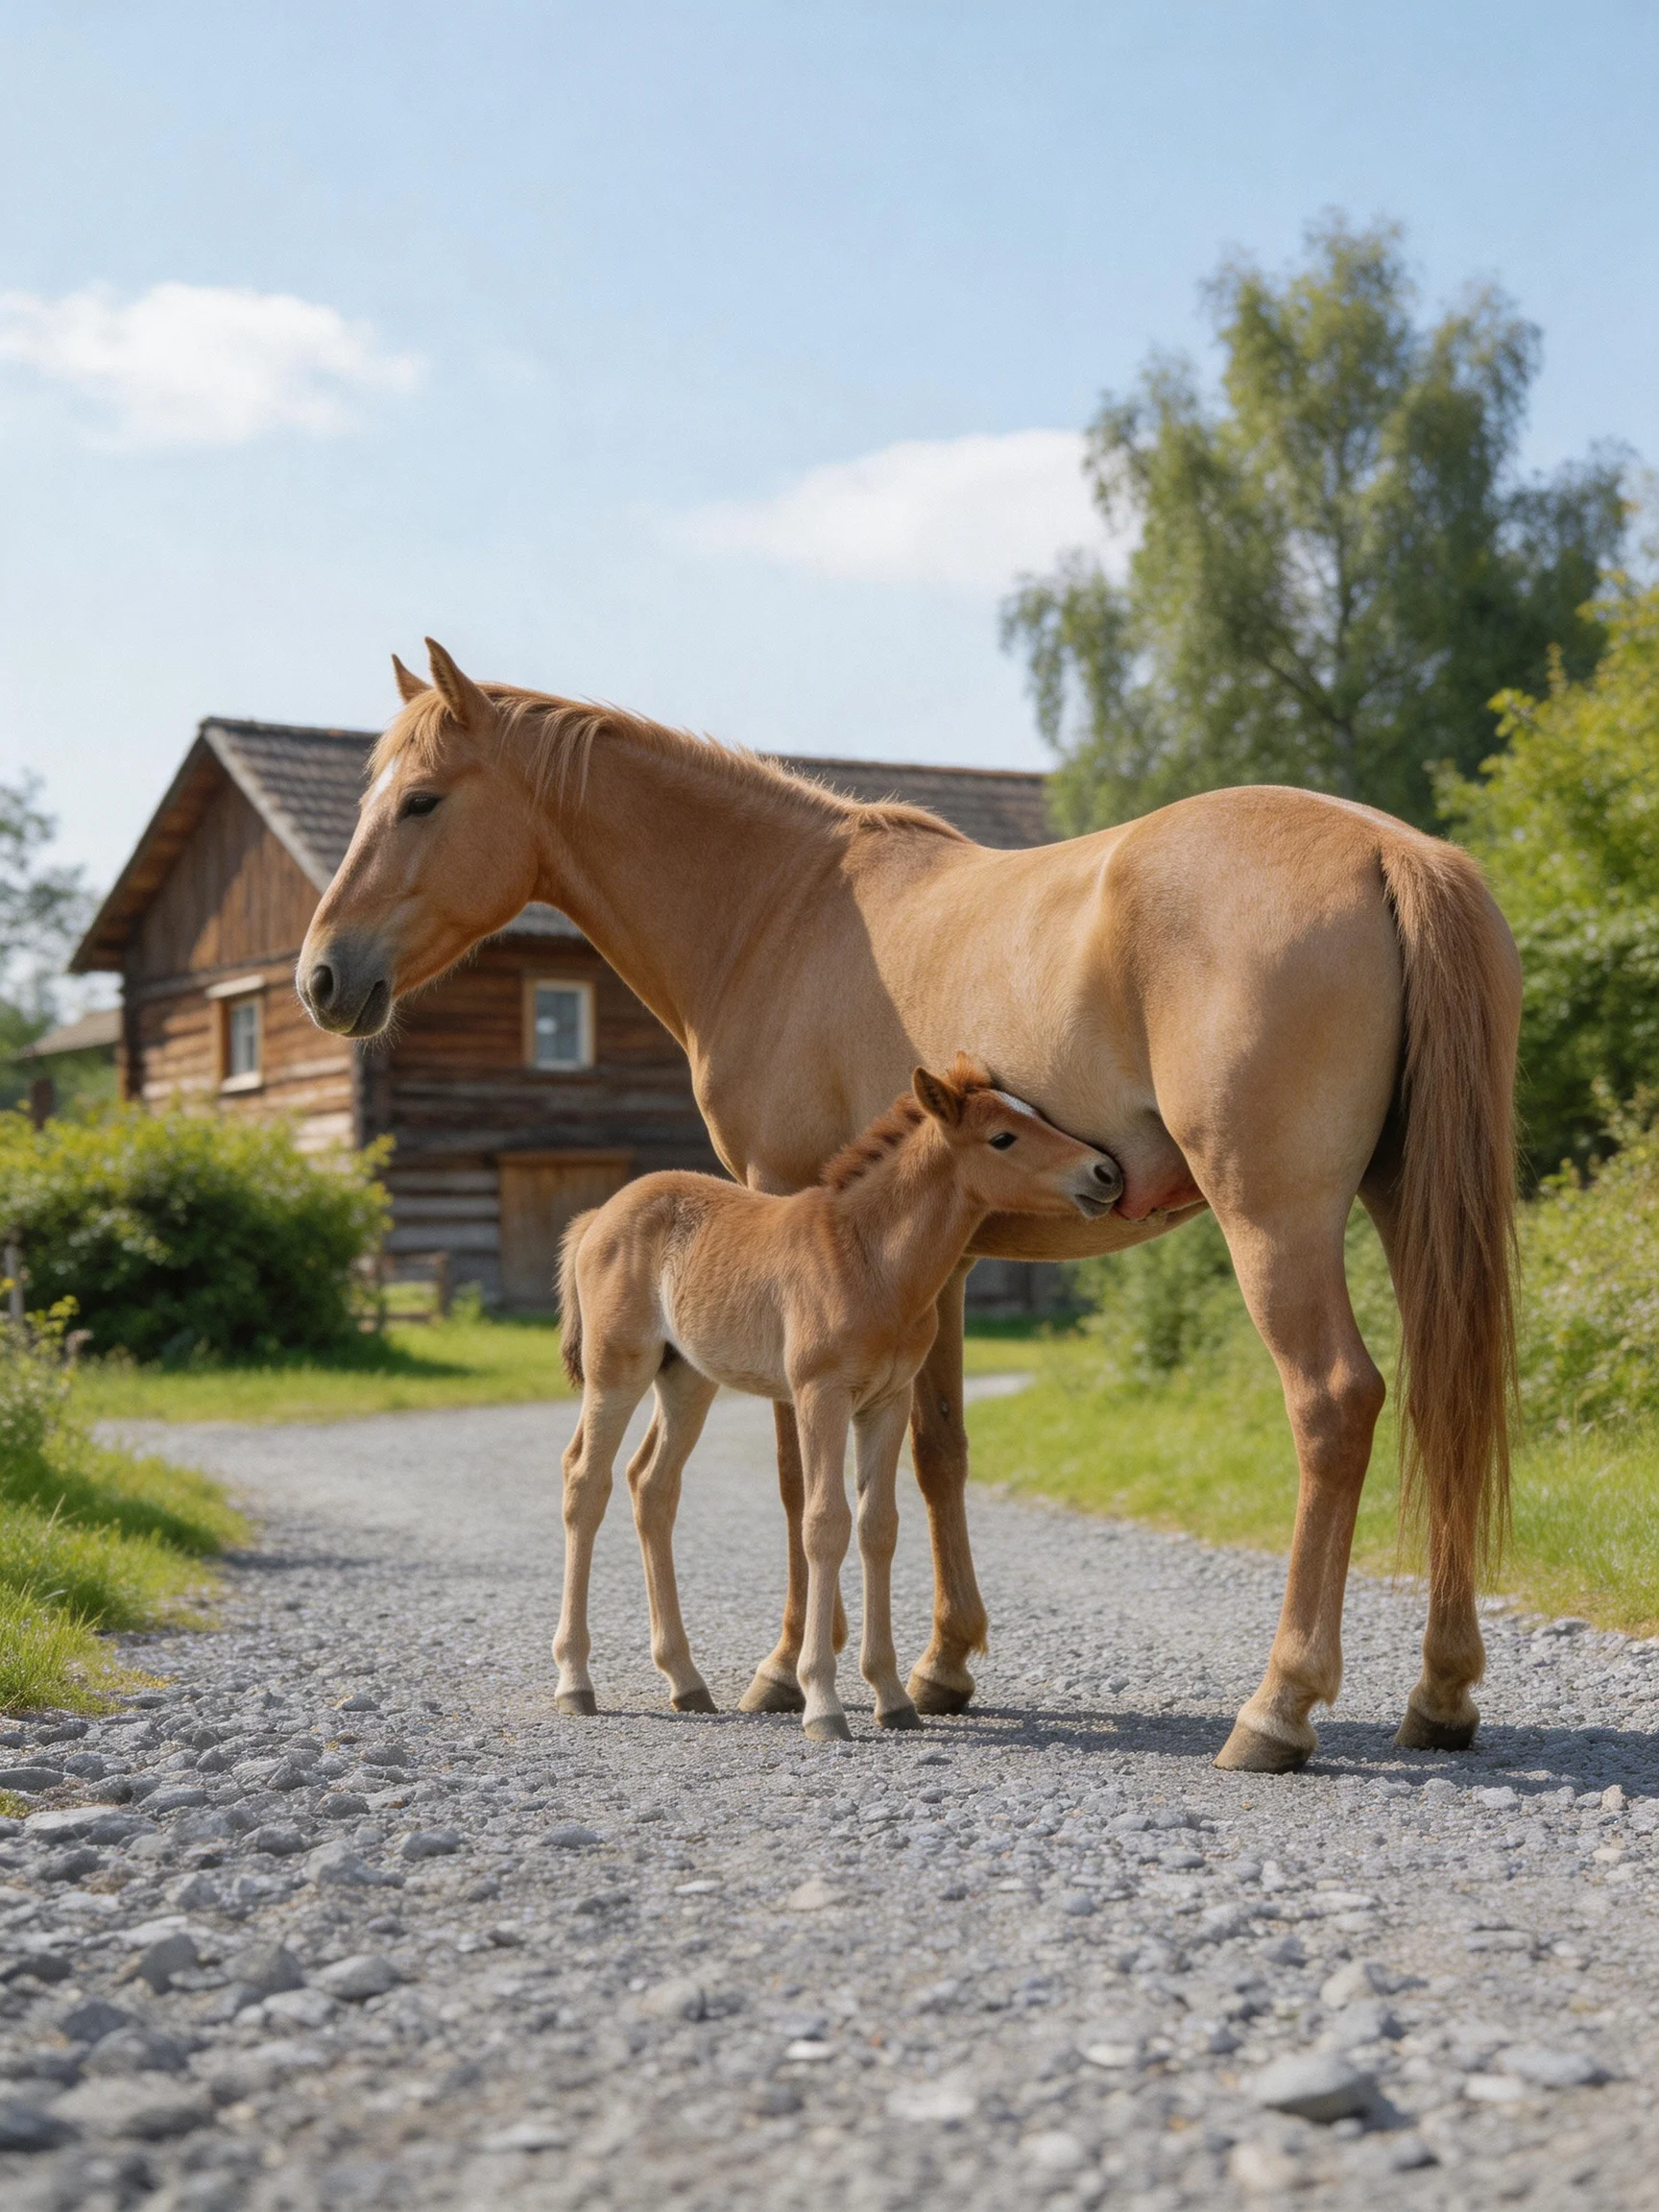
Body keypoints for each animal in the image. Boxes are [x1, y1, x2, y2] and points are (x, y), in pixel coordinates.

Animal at [551, 1055, 1122, 1739]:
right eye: (1003, 1138)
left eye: (1038, 1115)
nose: (1106, 1173)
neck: (871, 1257)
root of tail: (597, 1218)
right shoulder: (819, 1394)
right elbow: (824, 1524)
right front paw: (821, 1701)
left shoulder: (888, 1401)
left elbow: (879, 1526)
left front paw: (892, 1696)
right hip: (618, 1369)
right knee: (587, 1479)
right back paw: (574, 1681)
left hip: (686, 1377)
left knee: (651, 1485)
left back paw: (686, 1681)